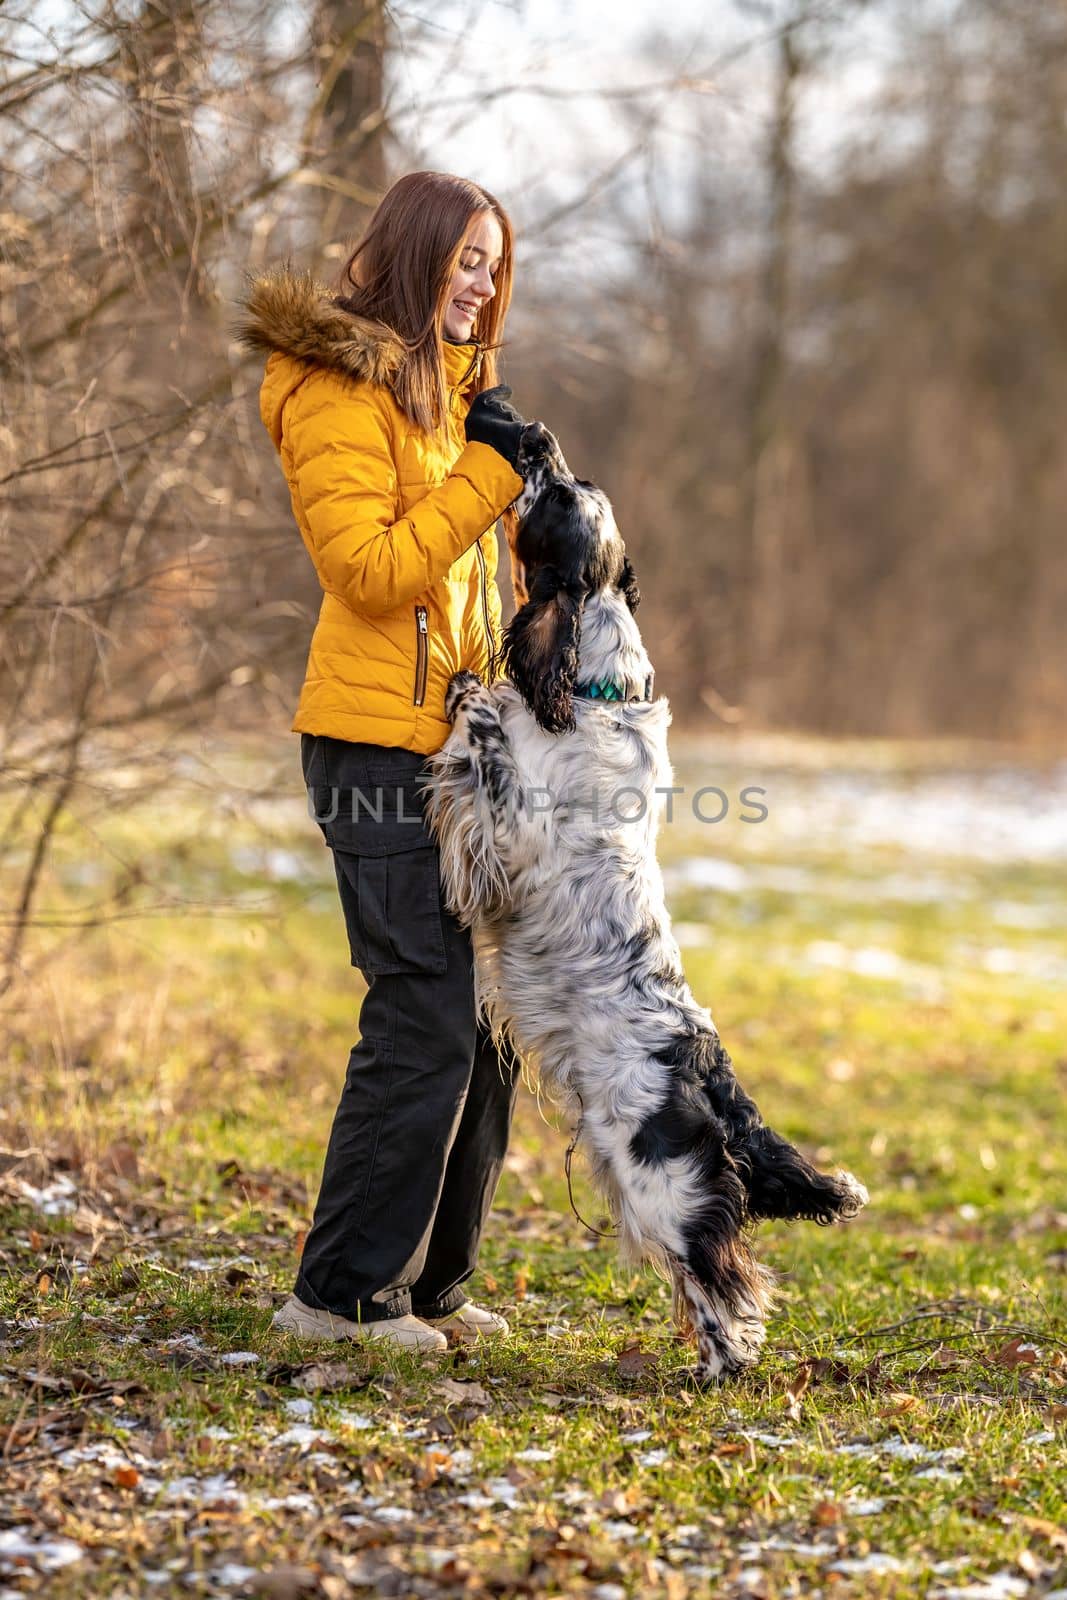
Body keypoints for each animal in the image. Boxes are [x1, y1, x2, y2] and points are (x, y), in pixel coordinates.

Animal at [422, 425, 870, 1388]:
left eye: (555, 498)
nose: (537, 441)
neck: (595, 695)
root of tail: (710, 1074)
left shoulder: (504, 852)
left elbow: (484, 758)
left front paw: (472, 697)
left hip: (657, 1182)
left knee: (727, 1282)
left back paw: (716, 1370)